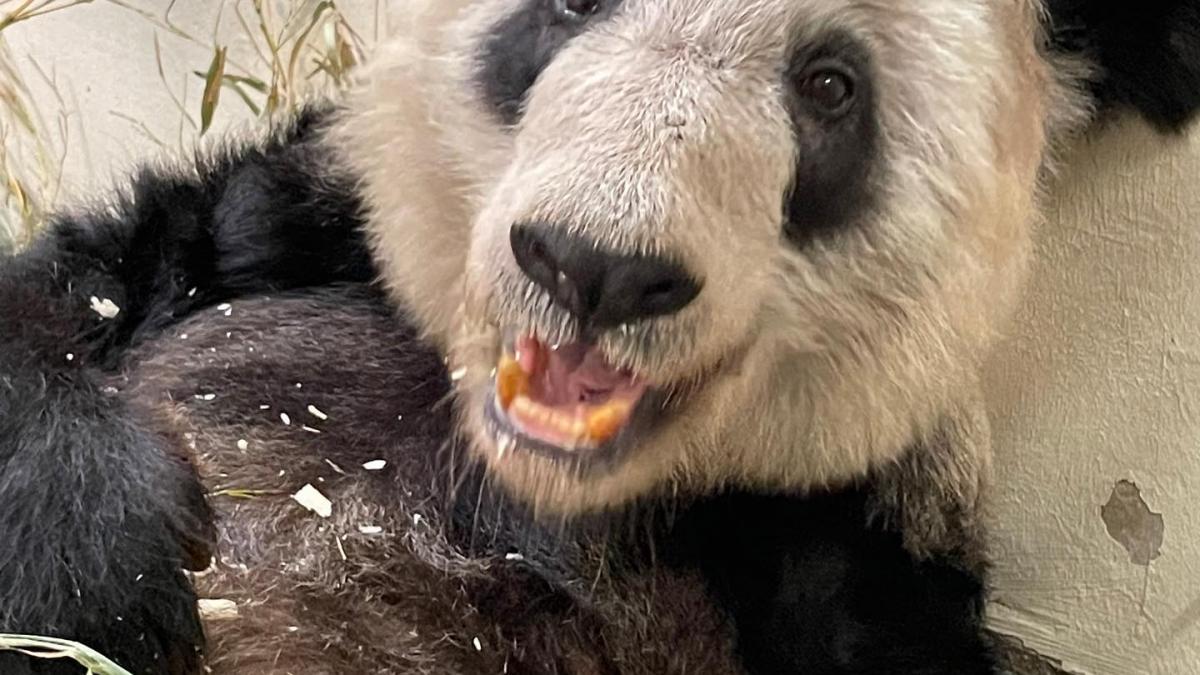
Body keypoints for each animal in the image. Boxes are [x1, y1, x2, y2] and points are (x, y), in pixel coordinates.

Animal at [2, 0, 1200, 673]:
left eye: (829, 88)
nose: (596, 263)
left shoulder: (845, 495)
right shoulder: (338, 213)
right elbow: (94, 280)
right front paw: (92, 570)